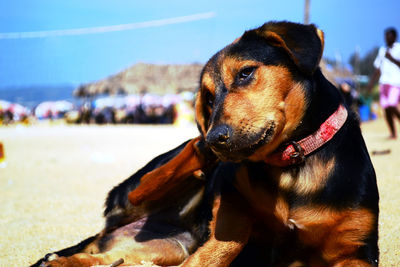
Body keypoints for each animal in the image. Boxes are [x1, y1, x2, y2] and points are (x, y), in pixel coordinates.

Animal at [32, 21, 380, 267]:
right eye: (209, 97)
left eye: (245, 73)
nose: (216, 138)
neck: (293, 162)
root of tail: (108, 229)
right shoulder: (231, 201)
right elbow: (231, 231)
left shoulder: (357, 251)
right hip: (144, 186)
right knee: (143, 184)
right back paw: (199, 154)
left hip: (162, 248)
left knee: (105, 258)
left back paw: (65, 262)